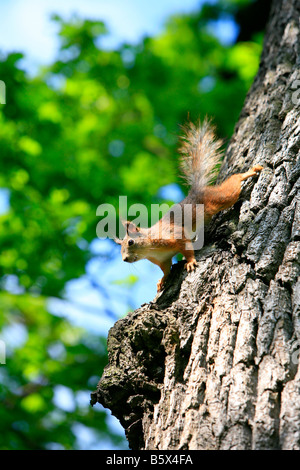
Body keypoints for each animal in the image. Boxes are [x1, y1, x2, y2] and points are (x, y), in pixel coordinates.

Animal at [115, 117, 262, 292]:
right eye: (120, 248)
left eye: (131, 242)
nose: (124, 259)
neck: (151, 249)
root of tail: (196, 191)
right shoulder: (162, 260)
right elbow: (166, 270)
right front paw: (161, 281)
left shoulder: (174, 236)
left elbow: (186, 247)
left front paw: (190, 262)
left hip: (220, 198)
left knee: (233, 183)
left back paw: (249, 172)